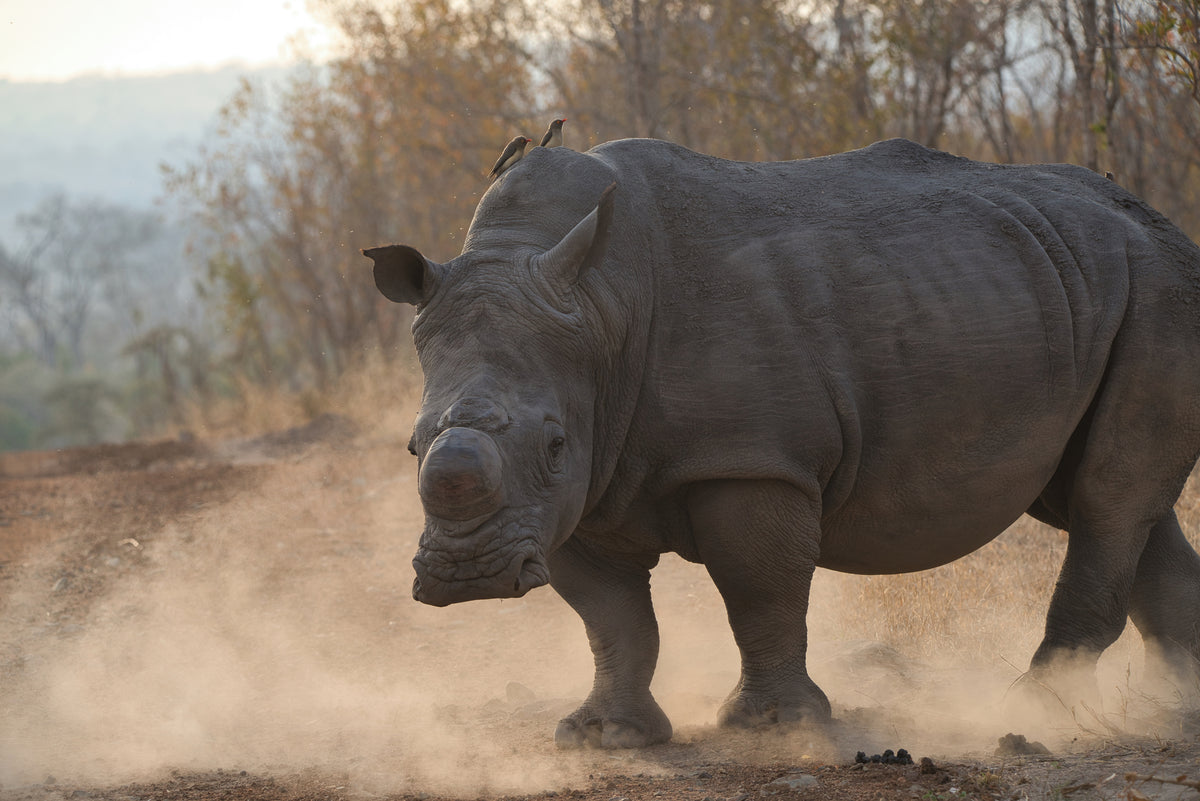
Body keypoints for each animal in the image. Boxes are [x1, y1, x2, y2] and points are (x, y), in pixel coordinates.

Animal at [363, 138, 1200, 748]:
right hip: (1070, 290)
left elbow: (760, 589)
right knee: (1105, 500)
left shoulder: (749, 459)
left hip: (1158, 289)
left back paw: (1030, 713)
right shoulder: (581, 495)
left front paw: (772, 726)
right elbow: (610, 615)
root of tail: (1168, 224)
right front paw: (603, 736)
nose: (467, 575)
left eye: (555, 443)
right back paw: (1177, 706)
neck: (599, 306)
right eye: (410, 447)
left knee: (1107, 499)